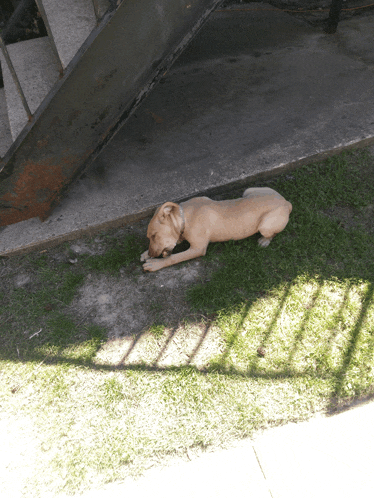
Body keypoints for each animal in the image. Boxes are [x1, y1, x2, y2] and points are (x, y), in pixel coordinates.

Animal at [141, 188, 292, 272]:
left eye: (154, 235)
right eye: (149, 237)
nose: (152, 254)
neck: (184, 218)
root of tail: (286, 202)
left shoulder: (198, 248)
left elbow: (174, 258)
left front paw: (155, 263)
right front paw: (145, 254)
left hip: (265, 226)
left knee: (271, 234)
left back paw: (264, 241)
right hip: (248, 191)